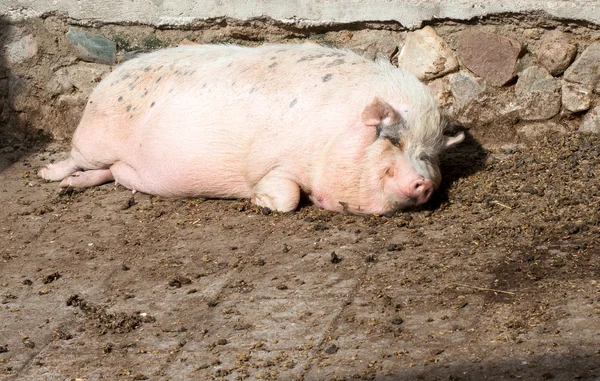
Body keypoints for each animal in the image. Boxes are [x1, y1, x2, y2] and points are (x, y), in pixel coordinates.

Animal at [39, 43, 464, 215]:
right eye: (393, 140)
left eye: (429, 153)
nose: (425, 183)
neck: (331, 135)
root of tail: (107, 80)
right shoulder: (272, 162)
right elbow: (287, 196)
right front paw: (259, 202)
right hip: (92, 140)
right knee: (75, 160)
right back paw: (49, 176)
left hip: (111, 161)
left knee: (107, 173)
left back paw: (70, 186)